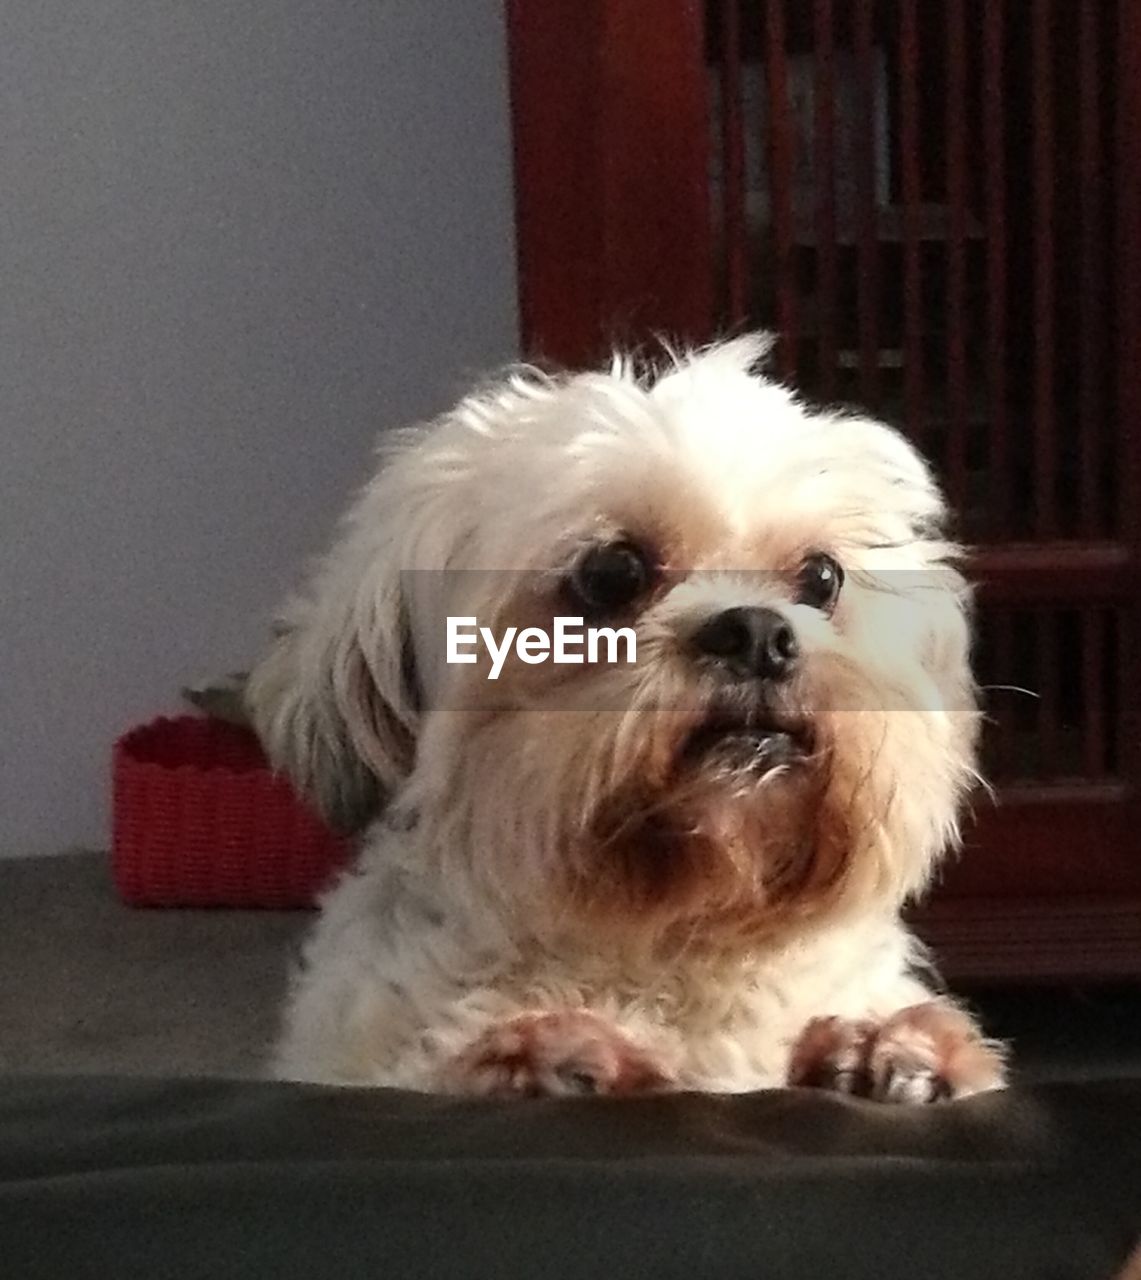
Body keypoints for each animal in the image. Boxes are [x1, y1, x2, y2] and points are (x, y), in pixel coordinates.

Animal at [247, 337, 1009, 1100]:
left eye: (822, 578)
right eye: (612, 573)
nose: (757, 633)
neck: (670, 945)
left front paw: (883, 1048)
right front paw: (544, 1054)